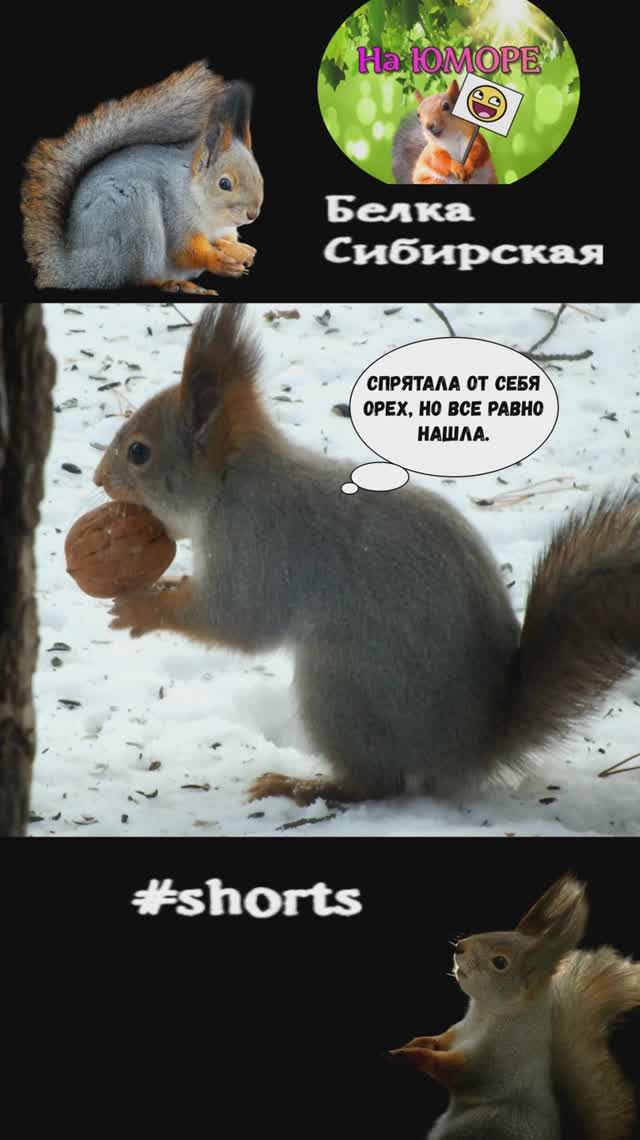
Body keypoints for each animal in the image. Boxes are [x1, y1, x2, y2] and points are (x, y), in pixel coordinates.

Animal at [21, 61, 263, 294]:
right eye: (224, 183)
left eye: (260, 178)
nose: (252, 215)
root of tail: (72, 268)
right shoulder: (177, 216)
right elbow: (184, 251)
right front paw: (220, 262)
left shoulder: (224, 230)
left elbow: (226, 241)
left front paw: (241, 250)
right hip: (135, 216)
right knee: (139, 279)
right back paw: (176, 285)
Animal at [94, 303, 640, 808]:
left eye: (138, 452)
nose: (98, 478)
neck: (233, 480)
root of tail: (472, 746)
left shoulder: (259, 542)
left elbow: (237, 620)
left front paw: (146, 608)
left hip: (341, 687)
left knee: (380, 783)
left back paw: (302, 785)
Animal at [390, 875, 640, 1140]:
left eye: (500, 962)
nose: (460, 947)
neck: (486, 1013)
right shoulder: (460, 1031)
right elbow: (441, 1040)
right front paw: (418, 1042)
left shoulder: (496, 1058)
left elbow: (457, 1071)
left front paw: (410, 1055)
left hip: (486, 1123)